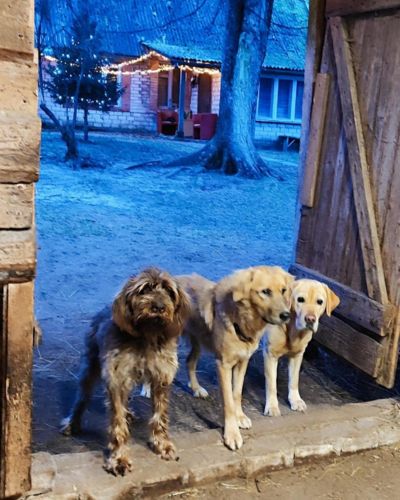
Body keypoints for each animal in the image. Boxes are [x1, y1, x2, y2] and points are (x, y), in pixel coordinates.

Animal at [60, 268, 190, 476]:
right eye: (144, 290)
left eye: (169, 291)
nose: (159, 307)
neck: (146, 335)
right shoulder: (116, 379)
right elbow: (117, 422)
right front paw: (119, 458)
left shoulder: (161, 378)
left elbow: (160, 415)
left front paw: (162, 444)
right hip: (90, 368)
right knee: (81, 398)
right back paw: (73, 423)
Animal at [178, 266, 294, 450]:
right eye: (265, 292)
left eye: (283, 290)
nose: (286, 315)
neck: (240, 320)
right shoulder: (223, 365)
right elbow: (228, 402)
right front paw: (232, 433)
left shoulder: (242, 362)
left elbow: (237, 393)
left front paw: (240, 418)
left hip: (199, 341)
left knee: (189, 362)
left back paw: (196, 388)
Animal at [263, 278, 340, 417]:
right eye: (300, 299)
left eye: (319, 302)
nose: (310, 319)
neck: (292, 329)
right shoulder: (270, 354)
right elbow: (271, 384)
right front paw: (272, 406)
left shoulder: (297, 355)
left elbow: (294, 380)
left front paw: (295, 400)